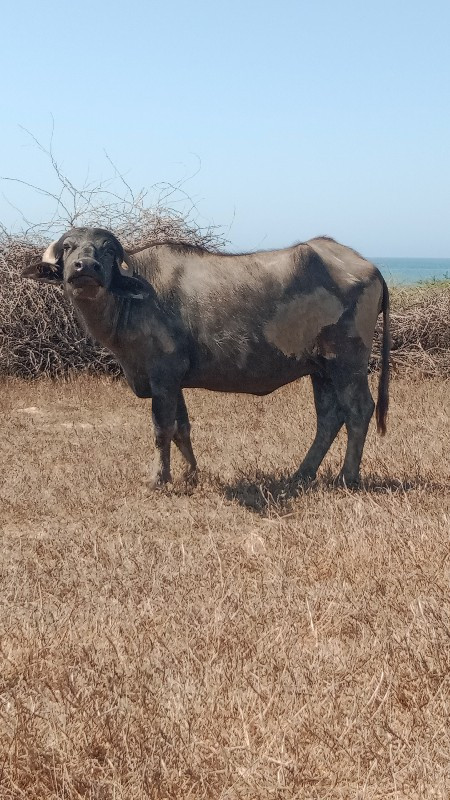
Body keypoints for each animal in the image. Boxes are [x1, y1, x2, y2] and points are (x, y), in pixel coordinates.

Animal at [24, 227, 390, 488]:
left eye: (108, 249)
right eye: (69, 247)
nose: (86, 267)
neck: (132, 300)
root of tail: (370, 268)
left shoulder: (163, 376)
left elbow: (162, 429)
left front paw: (159, 479)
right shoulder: (174, 382)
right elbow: (182, 428)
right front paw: (191, 475)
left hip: (347, 363)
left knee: (359, 410)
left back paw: (347, 478)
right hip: (321, 369)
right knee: (329, 418)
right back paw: (301, 475)